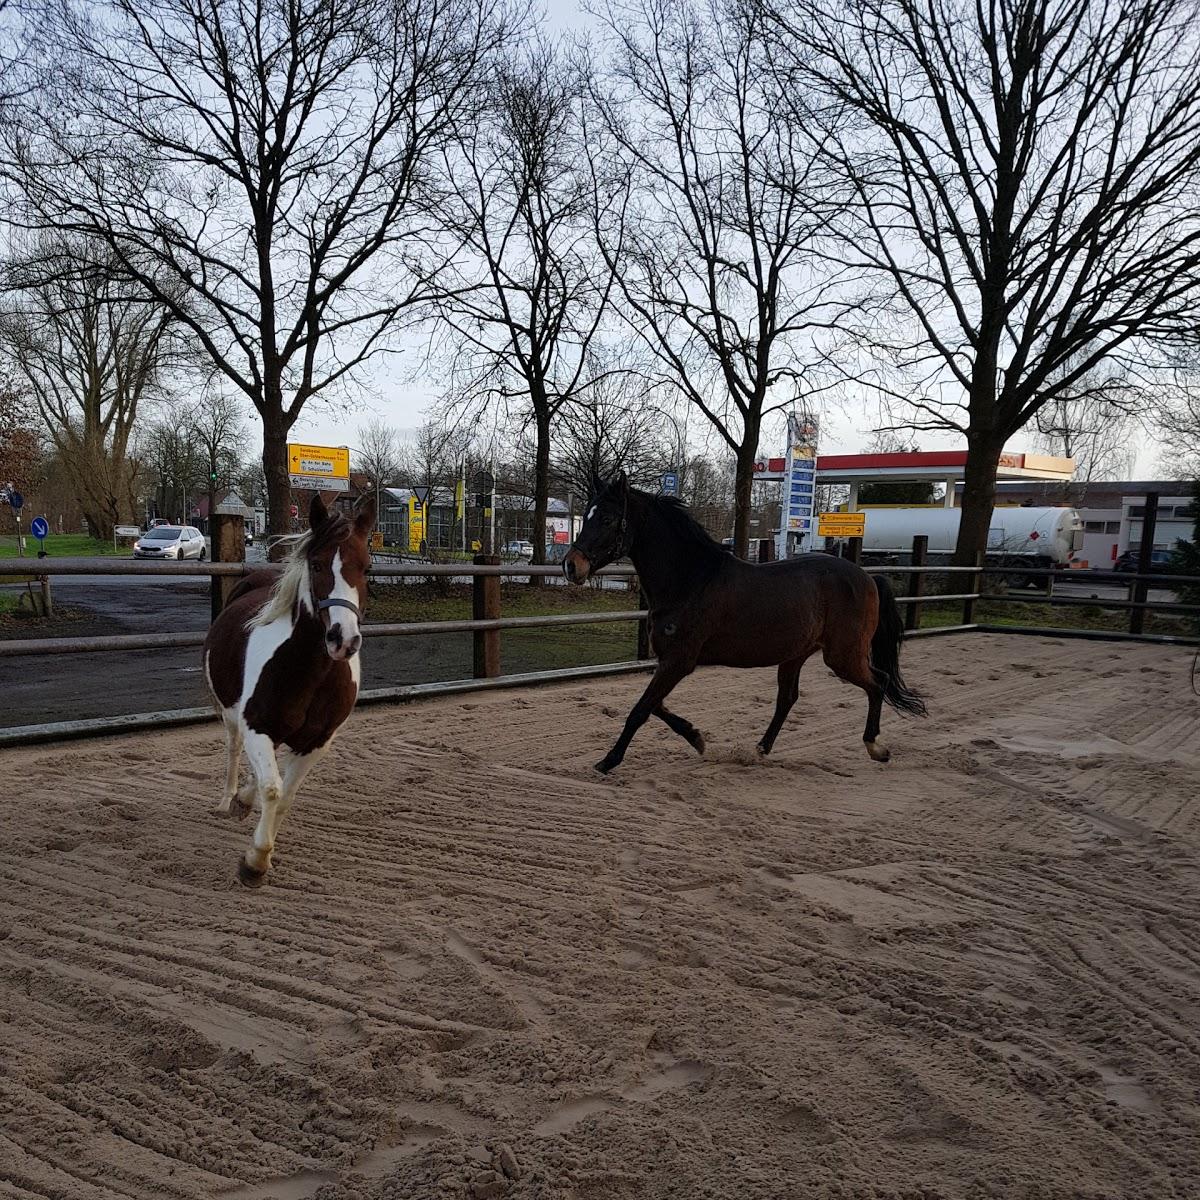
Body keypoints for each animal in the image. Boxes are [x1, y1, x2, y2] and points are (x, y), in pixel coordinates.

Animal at [201, 492, 372, 888]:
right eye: (317, 564)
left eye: (367, 568)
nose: (343, 640)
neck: (309, 675)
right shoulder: (256, 727)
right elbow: (272, 789)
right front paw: (255, 862)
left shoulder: (316, 742)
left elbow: (286, 795)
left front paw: (262, 849)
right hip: (233, 719)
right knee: (235, 751)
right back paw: (229, 799)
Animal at [564, 472, 926, 772]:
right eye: (587, 514)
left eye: (608, 518)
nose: (571, 566)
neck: (690, 581)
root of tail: (867, 577)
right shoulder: (668, 661)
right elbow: (656, 706)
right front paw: (698, 739)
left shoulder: (679, 661)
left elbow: (641, 710)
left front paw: (608, 761)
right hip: (796, 655)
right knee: (787, 699)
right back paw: (759, 750)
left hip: (842, 656)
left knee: (878, 683)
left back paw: (875, 747)